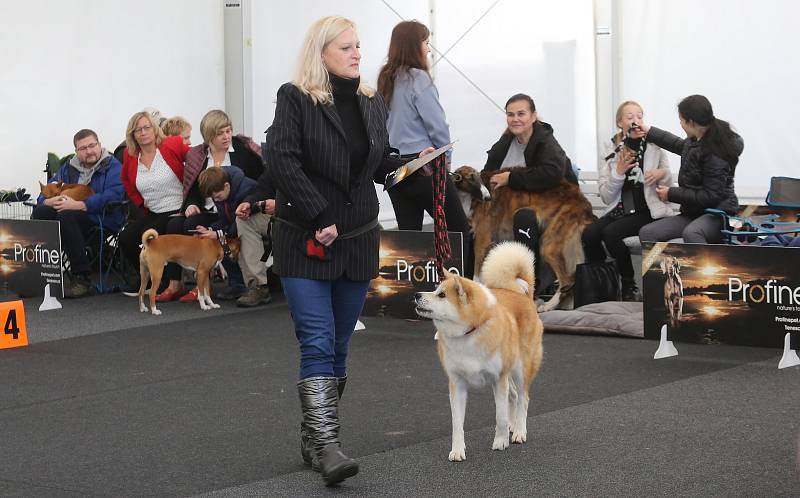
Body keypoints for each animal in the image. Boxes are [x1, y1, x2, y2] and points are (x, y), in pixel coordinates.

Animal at [412, 242, 544, 462]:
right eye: (435, 289)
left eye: (442, 295)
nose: (416, 295)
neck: (469, 333)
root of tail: (521, 294)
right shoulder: (457, 384)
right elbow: (457, 424)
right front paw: (457, 450)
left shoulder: (498, 378)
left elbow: (499, 416)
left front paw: (500, 442)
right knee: (513, 396)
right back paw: (513, 426)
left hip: (521, 368)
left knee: (523, 399)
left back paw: (519, 431)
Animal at [450, 165, 592, 310]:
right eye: (471, 179)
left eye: (478, 178)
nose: (488, 197)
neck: (467, 198)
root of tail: (583, 201)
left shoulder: (482, 238)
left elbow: (477, 273)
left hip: (548, 245)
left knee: (567, 280)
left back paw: (548, 305)